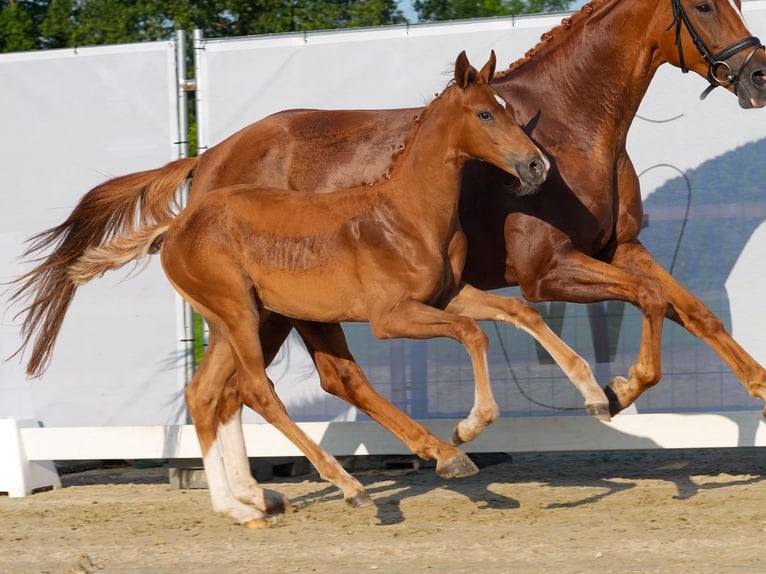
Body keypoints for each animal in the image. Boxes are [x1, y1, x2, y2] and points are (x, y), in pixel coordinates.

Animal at [69, 51, 544, 528]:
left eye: (509, 108)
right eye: (485, 113)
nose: (537, 165)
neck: (407, 214)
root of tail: (176, 227)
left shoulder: (447, 296)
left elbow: (506, 317)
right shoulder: (391, 317)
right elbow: (471, 332)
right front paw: (469, 428)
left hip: (237, 321)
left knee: (206, 393)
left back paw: (240, 507)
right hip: (242, 315)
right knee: (257, 391)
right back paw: (349, 487)